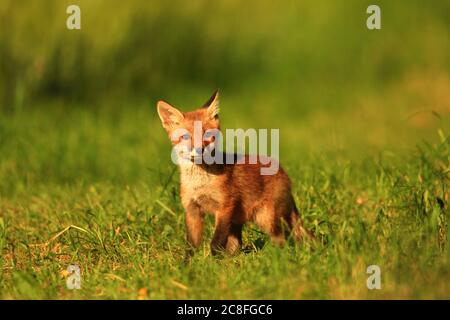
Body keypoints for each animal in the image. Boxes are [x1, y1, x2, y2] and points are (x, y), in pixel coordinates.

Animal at [156, 90, 312, 255]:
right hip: (239, 222)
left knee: (282, 241)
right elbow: (191, 246)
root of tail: (283, 172)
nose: (199, 150)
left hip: (266, 218)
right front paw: (189, 262)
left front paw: (212, 261)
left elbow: (215, 243)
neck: (201, 184)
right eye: (185, 136)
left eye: (207, 135)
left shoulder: (225, 207)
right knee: (236, 245)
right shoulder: (192, 209)